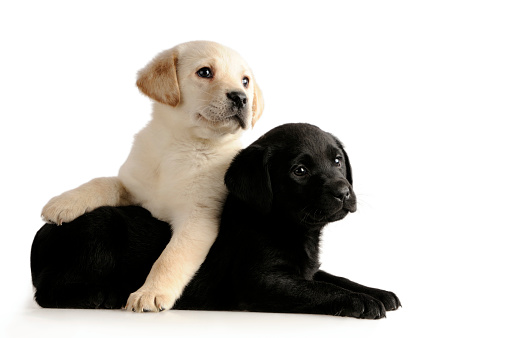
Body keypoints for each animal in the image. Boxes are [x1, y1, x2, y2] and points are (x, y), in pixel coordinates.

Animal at [30, 123, 400, 318]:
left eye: (337, 161)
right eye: (300, 170)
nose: (343, 192)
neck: (282, 225)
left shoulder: (302, 269)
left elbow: (336, 277)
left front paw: (377, 293)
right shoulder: (260, 281)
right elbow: (320, 289)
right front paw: (360, 302)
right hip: (98, 231)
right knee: (47, 291)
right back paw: (101, 295)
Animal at [38, 41, 264, 312]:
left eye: (245, 81)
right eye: (205, 72)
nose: (241, 98)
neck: (181, 146)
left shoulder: (198, 217)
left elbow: (171, 257)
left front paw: (150, 292)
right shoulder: (134, 188)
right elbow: (103, 182)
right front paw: (65, 202)